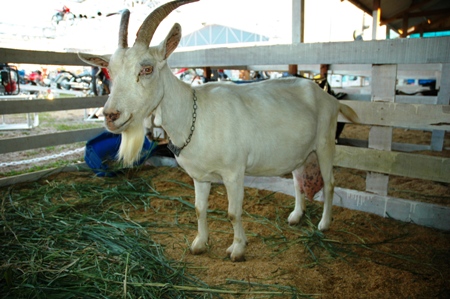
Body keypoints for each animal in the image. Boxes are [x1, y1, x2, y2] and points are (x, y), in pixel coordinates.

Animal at [78, 0, 358, 262]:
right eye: (110, 72)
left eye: (146, 69)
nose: (111, 116)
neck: (194, 117)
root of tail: (329, 97)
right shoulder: (200, 176)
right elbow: (199, 209)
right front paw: (199, 244)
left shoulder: (234, 172)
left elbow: (233, 212)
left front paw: (237, 249)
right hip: (302, 151)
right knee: (299, 180)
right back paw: (296, 216)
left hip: (325, 143)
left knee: (330, 183)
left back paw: (324, 224)